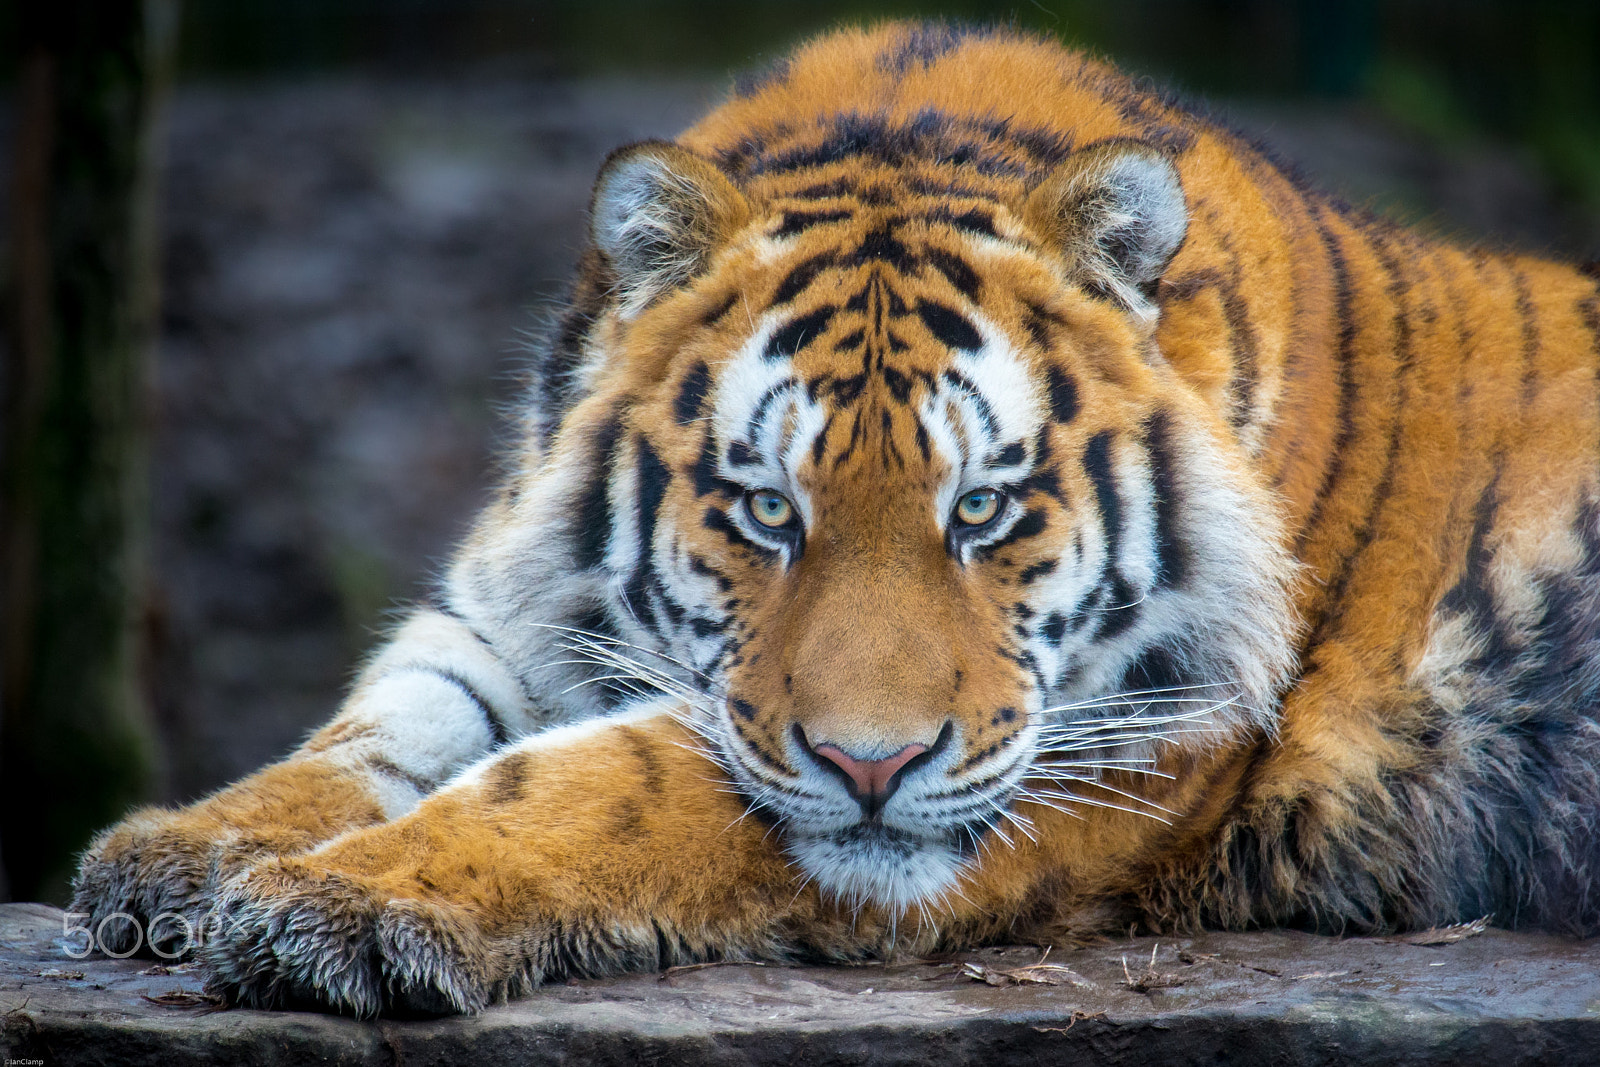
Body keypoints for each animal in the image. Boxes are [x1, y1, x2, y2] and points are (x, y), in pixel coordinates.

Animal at [71, 21, 1600, 1016]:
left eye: (984, 509)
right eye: (766, 509)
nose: (875, 766)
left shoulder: (1106, 749)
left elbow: (602, 777)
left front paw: (339, 905)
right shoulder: (506, 606)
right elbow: (388, 719)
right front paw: (185, 848)